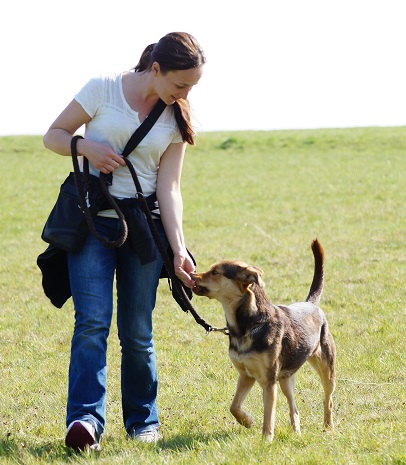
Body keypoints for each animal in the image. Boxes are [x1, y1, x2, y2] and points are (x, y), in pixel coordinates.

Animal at [191, 241, 336, 440]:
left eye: (215, 272)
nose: (191, 275)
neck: (247, 325)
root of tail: (311, 304)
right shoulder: (246, 375)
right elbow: (234, 406)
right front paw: (247, 421)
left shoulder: (268, 381)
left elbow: (269, 415)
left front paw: (266, 439)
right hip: (286, 379)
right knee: (294, 408)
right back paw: (297, 432)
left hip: (326, 367)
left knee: (328, 400)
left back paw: (328, 427)